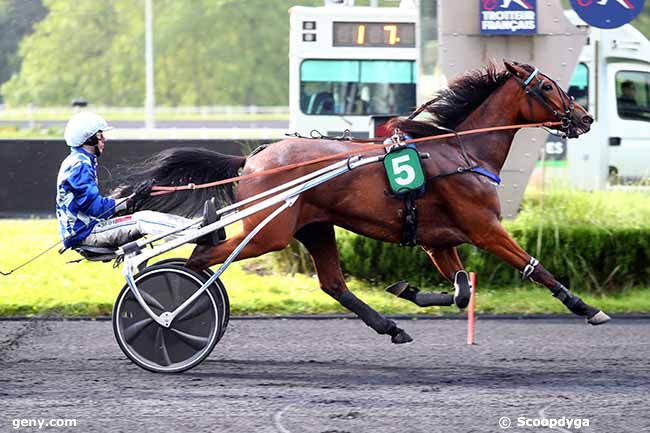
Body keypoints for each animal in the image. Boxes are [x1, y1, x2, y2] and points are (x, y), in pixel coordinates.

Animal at [119, 61, 604, 344]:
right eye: (548, 86)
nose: (585, 117)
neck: (461, 151)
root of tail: (252, 159)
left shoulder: (438, 241)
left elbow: (461, 289)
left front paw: (407, 290)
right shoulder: (484, 229)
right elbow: (534, 267)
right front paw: (586, 308)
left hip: (314, 227)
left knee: (333, 284)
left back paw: (391, 327)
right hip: (268, 233)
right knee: (202, 257)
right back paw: (171, 311)